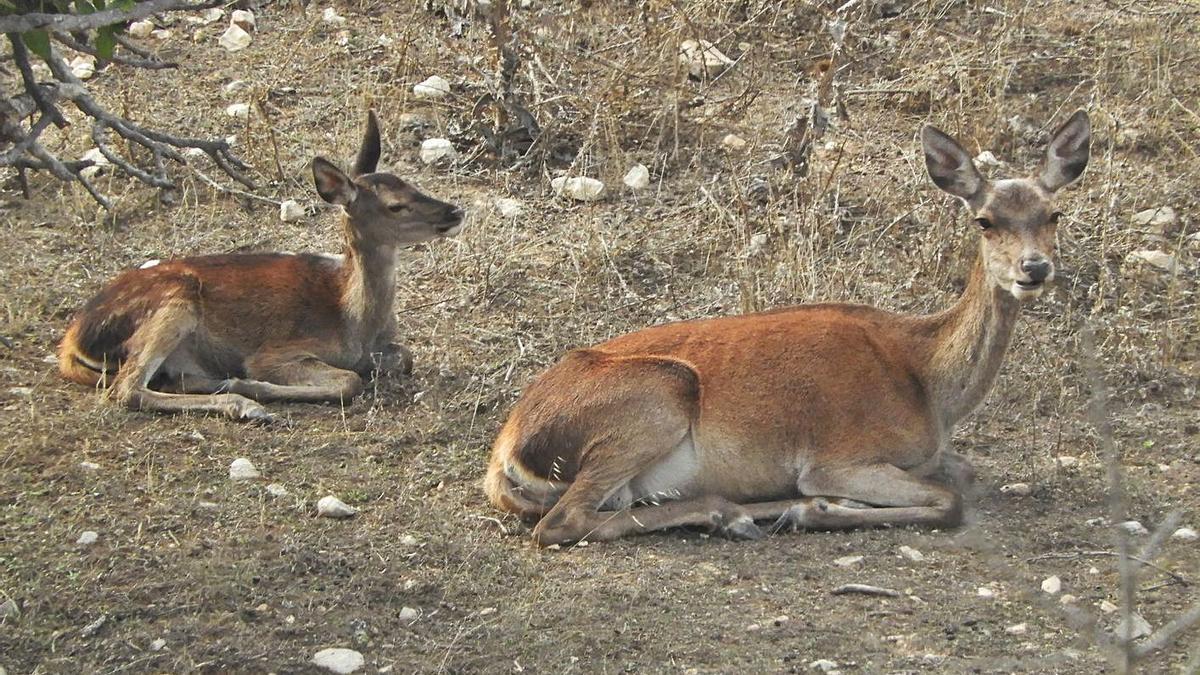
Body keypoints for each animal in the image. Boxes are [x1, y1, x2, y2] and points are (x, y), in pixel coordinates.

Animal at [59, 111, 463, 420]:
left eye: (412, 184)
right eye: (395, 205)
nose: (455, 211)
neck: (355, 321)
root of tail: (72, 340)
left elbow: (405, 357)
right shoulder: (276, 351)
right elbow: (349, 381)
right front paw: (253, 386)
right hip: (173, 302)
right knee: (126, 389)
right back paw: (242, 403)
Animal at [484, 107, 1089, 542]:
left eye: (1054, 213)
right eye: (984, 220)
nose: (1035, 268)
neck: (929, 386)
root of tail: (504, 451)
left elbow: (966, 477)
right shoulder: (838, 458)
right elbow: (949, 501)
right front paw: (819, 509)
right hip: (655, 394)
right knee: (562, 523)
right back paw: (747, 513)